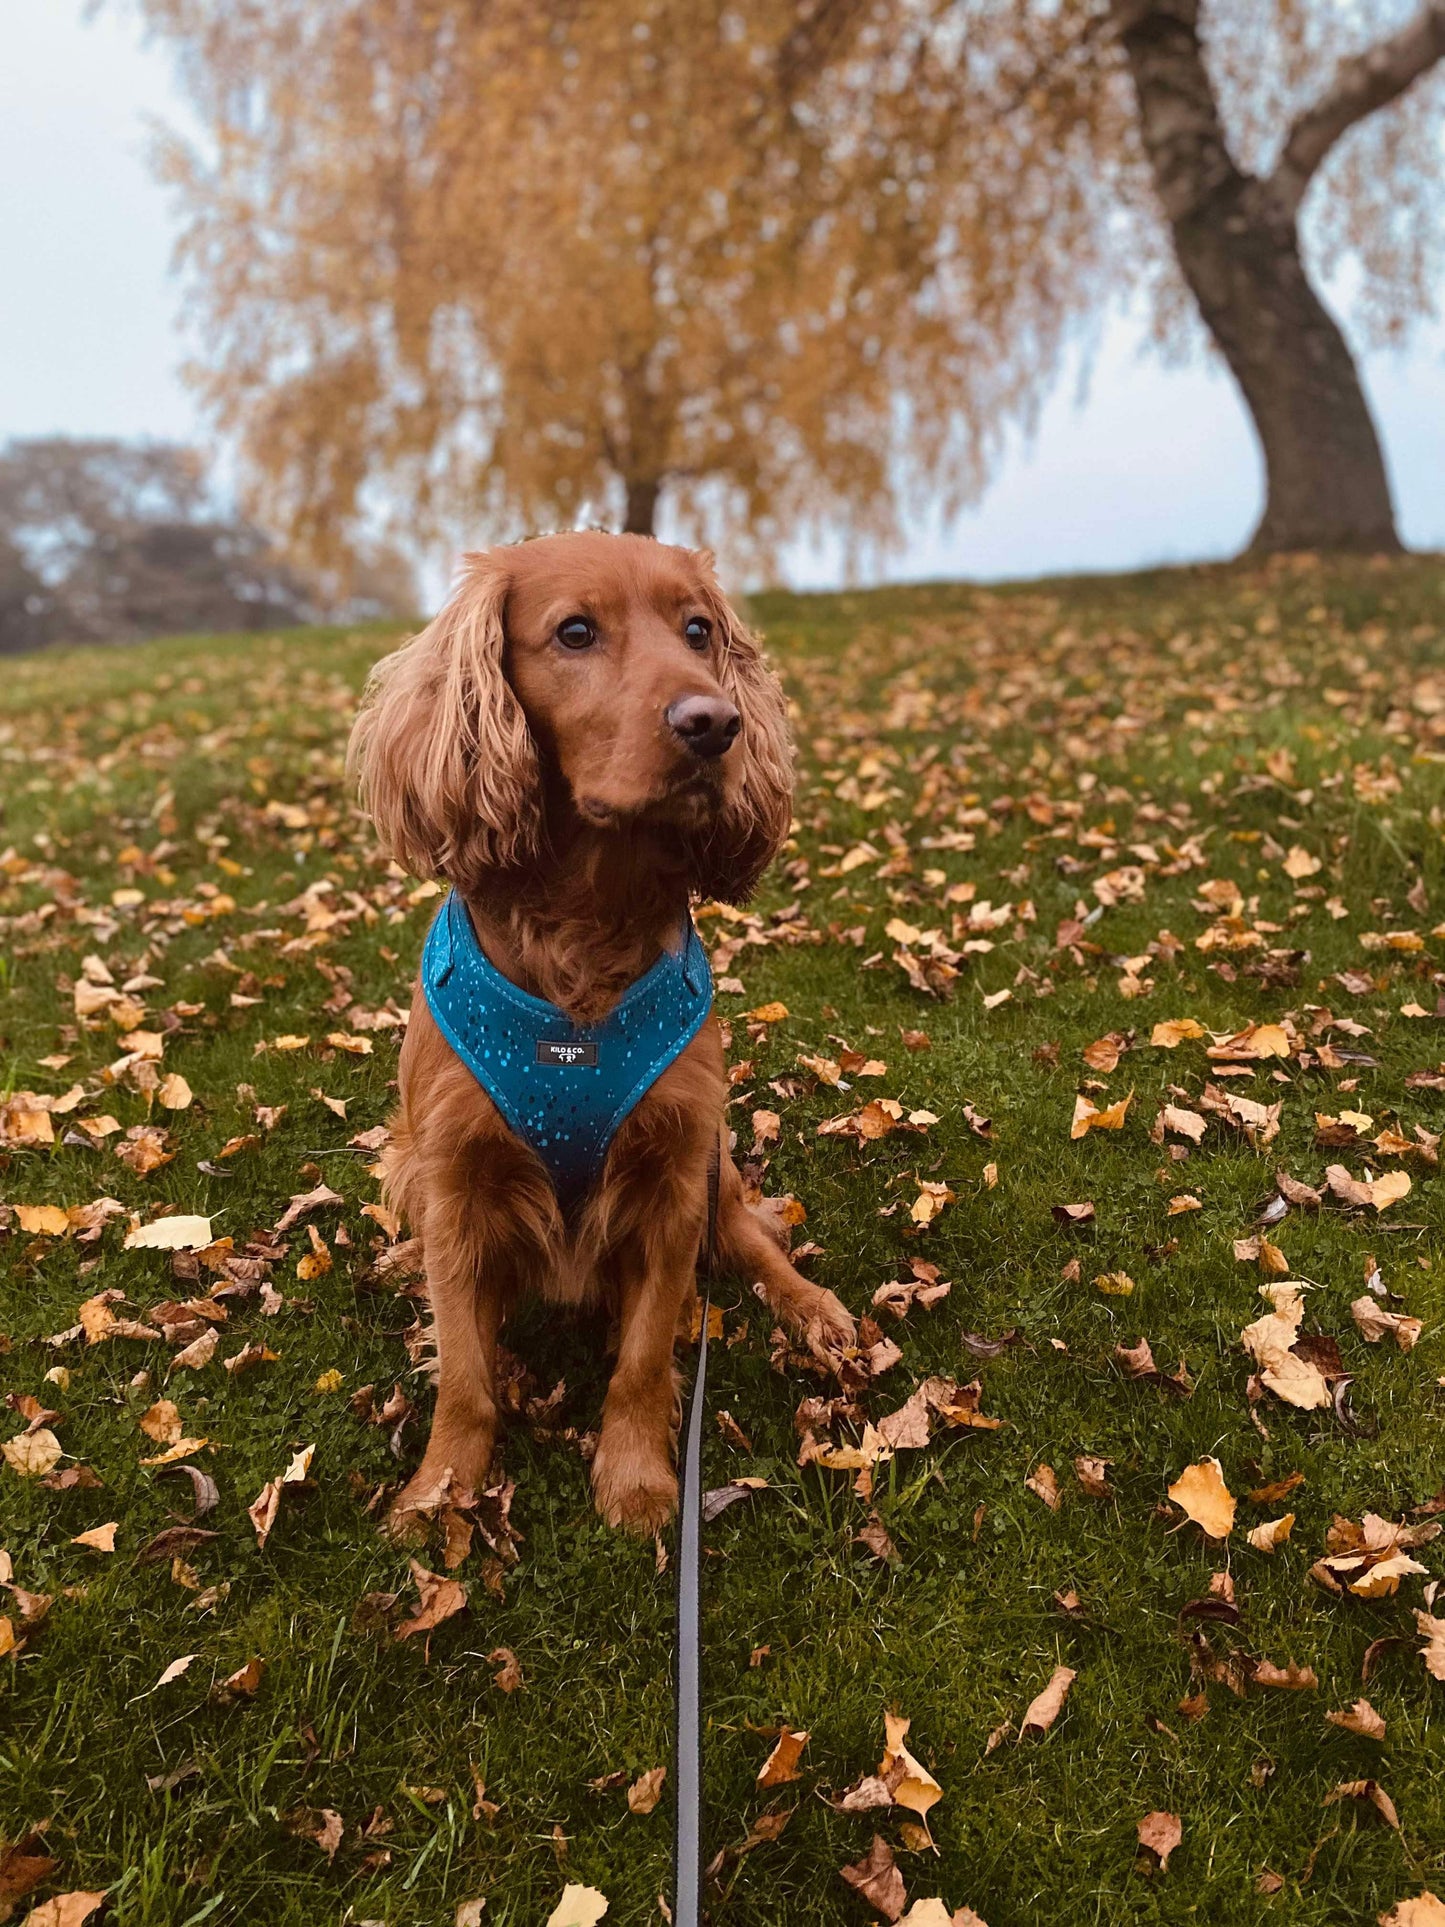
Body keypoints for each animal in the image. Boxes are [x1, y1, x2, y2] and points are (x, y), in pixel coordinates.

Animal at [346, 535, 855, 1526]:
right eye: (574, 633)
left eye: (698, 631)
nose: (715, 723)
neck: (584, 925)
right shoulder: (456, 1181)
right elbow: (463, 1374)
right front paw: (439, 1494)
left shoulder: (671, 1180)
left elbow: (646, 1356)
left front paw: (637, 1479)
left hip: (716, 1163)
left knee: (753, 1243)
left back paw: (812, 1307)